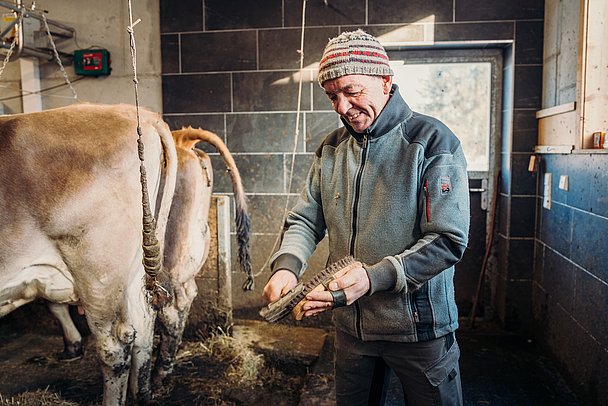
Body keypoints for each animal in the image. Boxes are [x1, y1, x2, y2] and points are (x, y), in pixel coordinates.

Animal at [0, 103, 178, 404]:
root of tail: (133, 111)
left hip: (97, 272)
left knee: (115, 345)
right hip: (131, 270)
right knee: (144, 323)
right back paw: (142, 393)